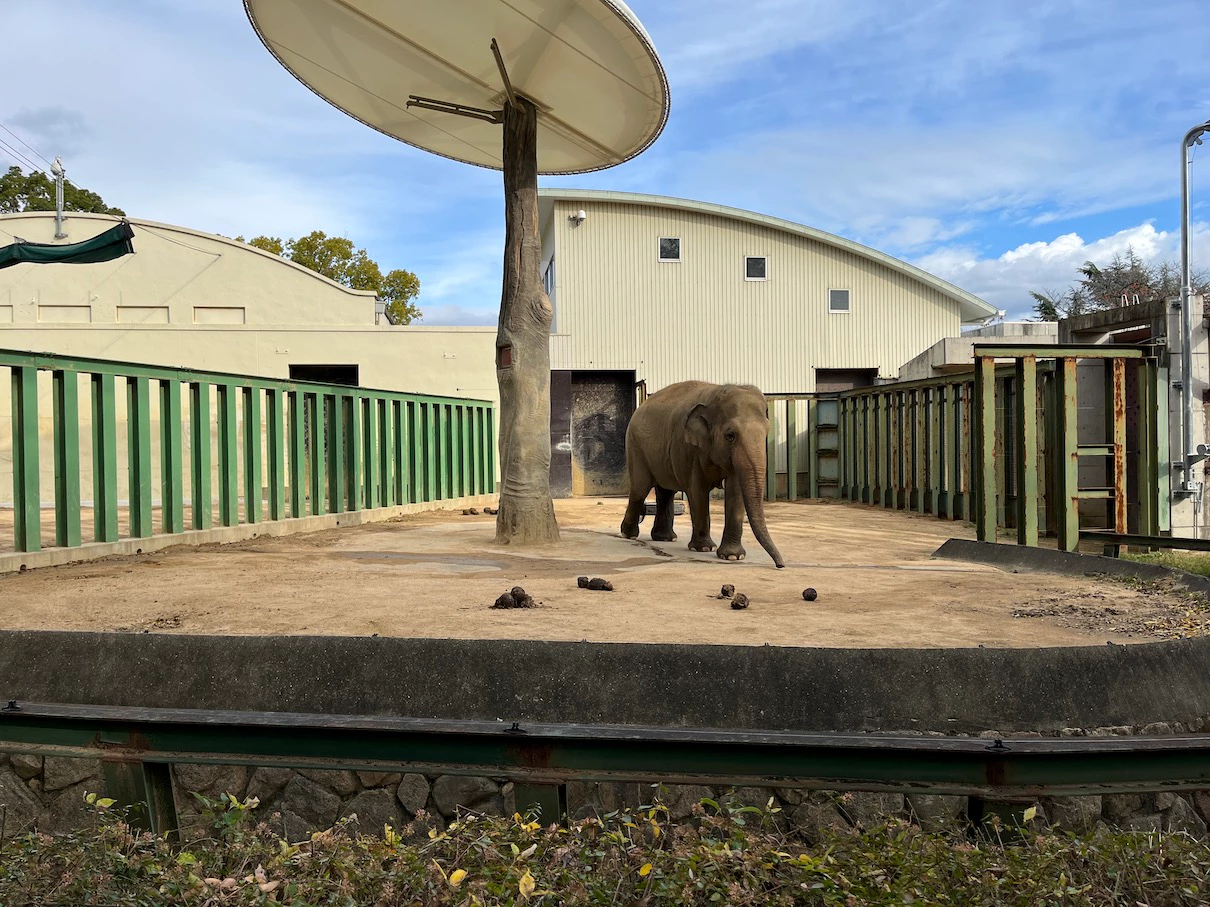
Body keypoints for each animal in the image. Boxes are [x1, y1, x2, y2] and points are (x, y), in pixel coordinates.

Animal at [620, 381, 785, 568]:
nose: (780, 565)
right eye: (730, 435)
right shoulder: (688, 448)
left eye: (766, 432)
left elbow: (735, 491)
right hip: (635, 445)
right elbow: (697, 491)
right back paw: (629, 535)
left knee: (665, 491)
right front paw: (704, 549)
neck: (715, 394)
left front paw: (733, 556)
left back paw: (665, 538)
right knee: (640, 488)